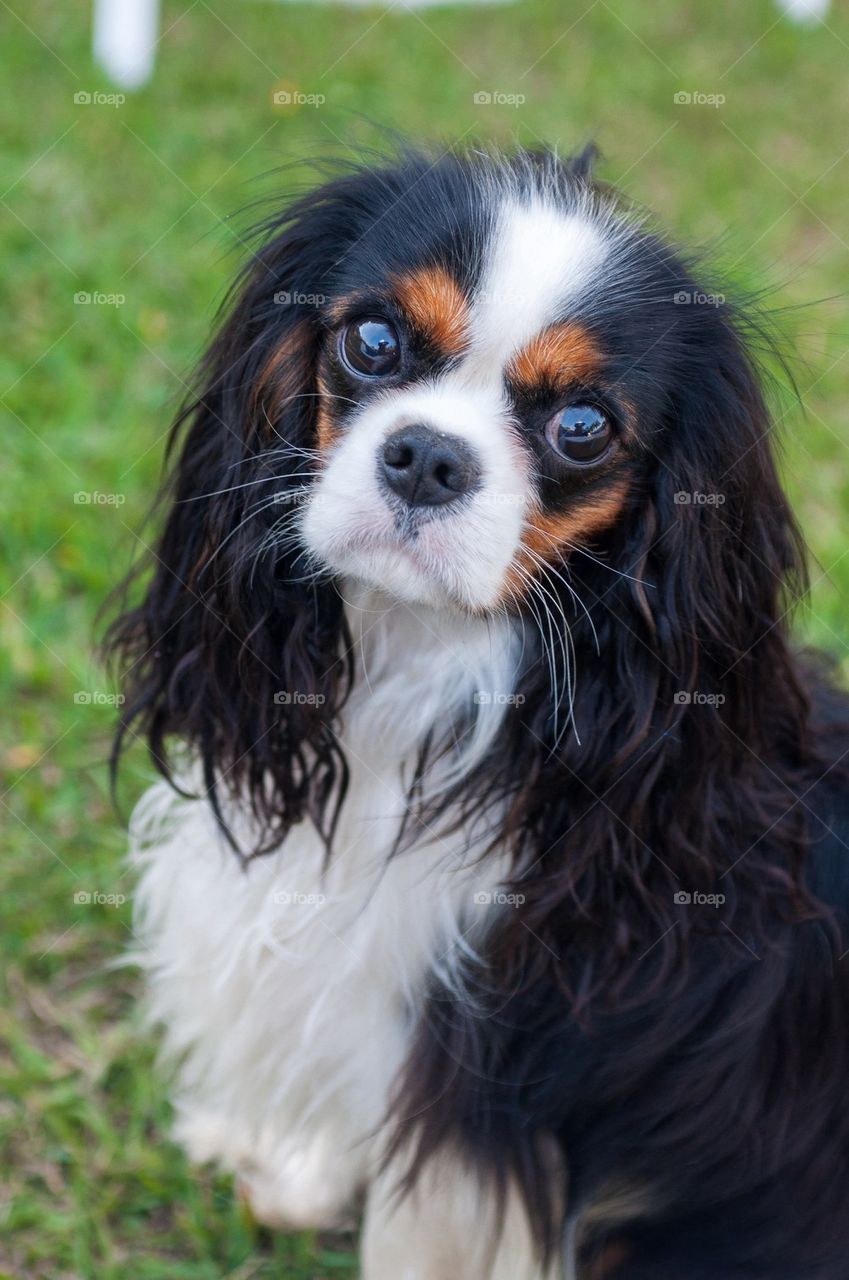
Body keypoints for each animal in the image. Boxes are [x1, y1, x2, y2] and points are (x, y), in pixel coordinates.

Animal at [109, 147, 849, 1280]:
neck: (415, 670)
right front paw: (294, 1172)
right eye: (372, 341)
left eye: (582, 426)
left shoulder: (475, 1103)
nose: (427, 455)